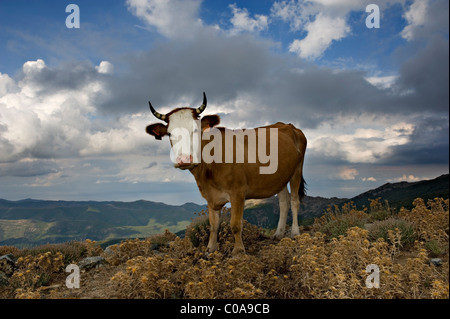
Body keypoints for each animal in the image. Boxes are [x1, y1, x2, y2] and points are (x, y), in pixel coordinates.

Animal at [146, 92, 308, 255]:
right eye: (169, 134)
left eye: (196, 130)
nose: (184, 160)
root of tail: (288, 125)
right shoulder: (210, 195)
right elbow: (213, 224)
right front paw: (210, 249)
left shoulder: (238, 192)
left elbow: (235, 224)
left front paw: (238, 251)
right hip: (280, 177)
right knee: (283, 202)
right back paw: (278, 233)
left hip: (297, 170)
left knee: (294, 201)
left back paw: (295, 232)